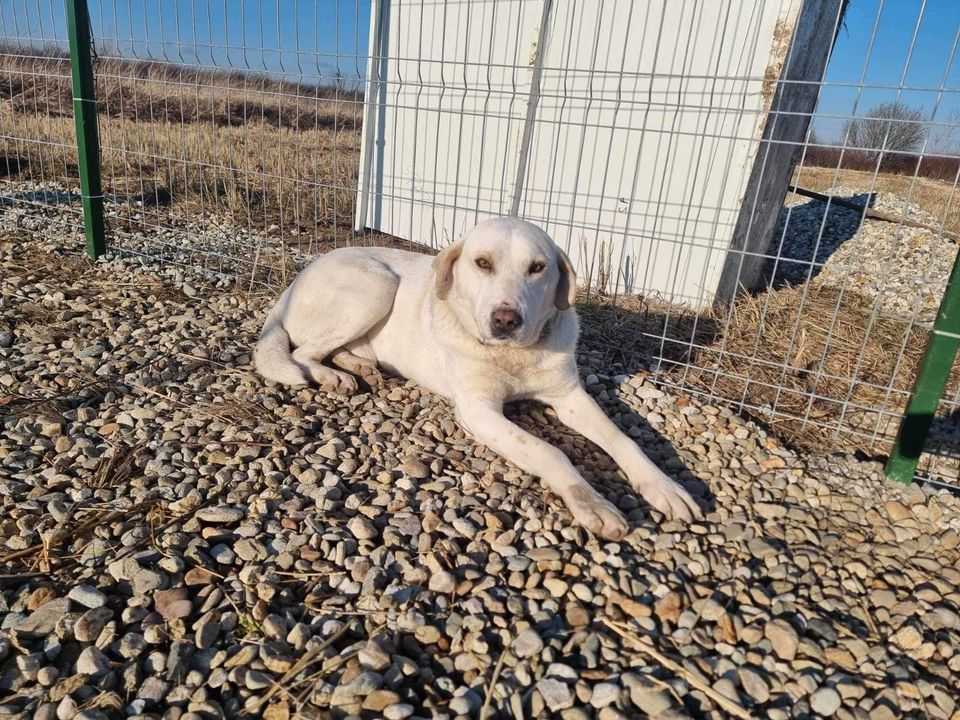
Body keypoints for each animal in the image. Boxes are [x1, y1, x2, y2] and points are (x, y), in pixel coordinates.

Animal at [255, 217, 700, 536]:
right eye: (482, 263)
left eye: (537, 268)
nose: (505, 319)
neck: (514, 355)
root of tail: (294, 283)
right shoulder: (479, 411)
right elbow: (550, 451)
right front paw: (591, 502)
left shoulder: (570, 396)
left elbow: (622, 440)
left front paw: (664, 486)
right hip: (377, 284)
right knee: (302, 353)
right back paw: (331, 377)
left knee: (335, 350)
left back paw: (357, 367)